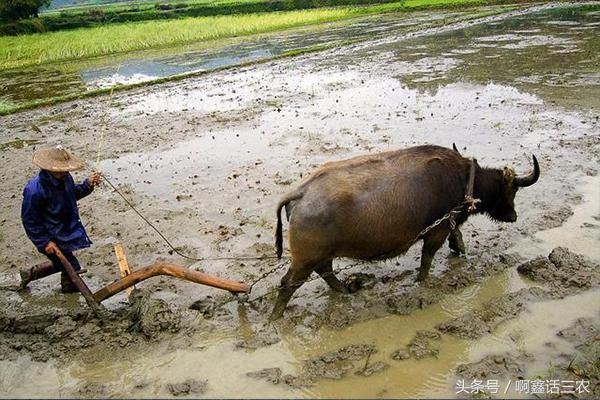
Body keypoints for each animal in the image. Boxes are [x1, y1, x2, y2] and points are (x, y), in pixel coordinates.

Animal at [270, 144, 540, 318]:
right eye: (513, 190)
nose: (513, 216)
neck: (463, 179)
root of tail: (300, 193)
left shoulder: (448, 222)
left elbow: (458, 238)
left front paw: (461, 254)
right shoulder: (437, 230)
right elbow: (427, 258)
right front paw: (422, 281)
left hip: (319, 256)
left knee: (325, 272)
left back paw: (346, 291)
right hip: (305, 259)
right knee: (287, 284)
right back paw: (276, 317)